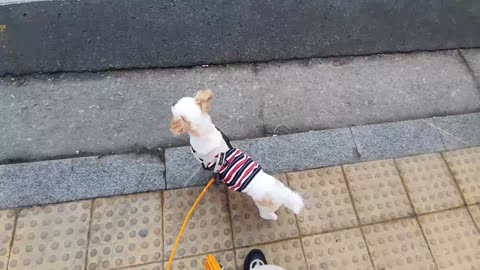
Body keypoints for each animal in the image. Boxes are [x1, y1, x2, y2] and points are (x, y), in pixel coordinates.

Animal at [170, 89, 304, 220]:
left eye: (175, 107)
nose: (172, 102)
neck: (205, 132)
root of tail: (281, 194)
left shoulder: (202, 160)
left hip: (264, 208)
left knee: (267, 215)